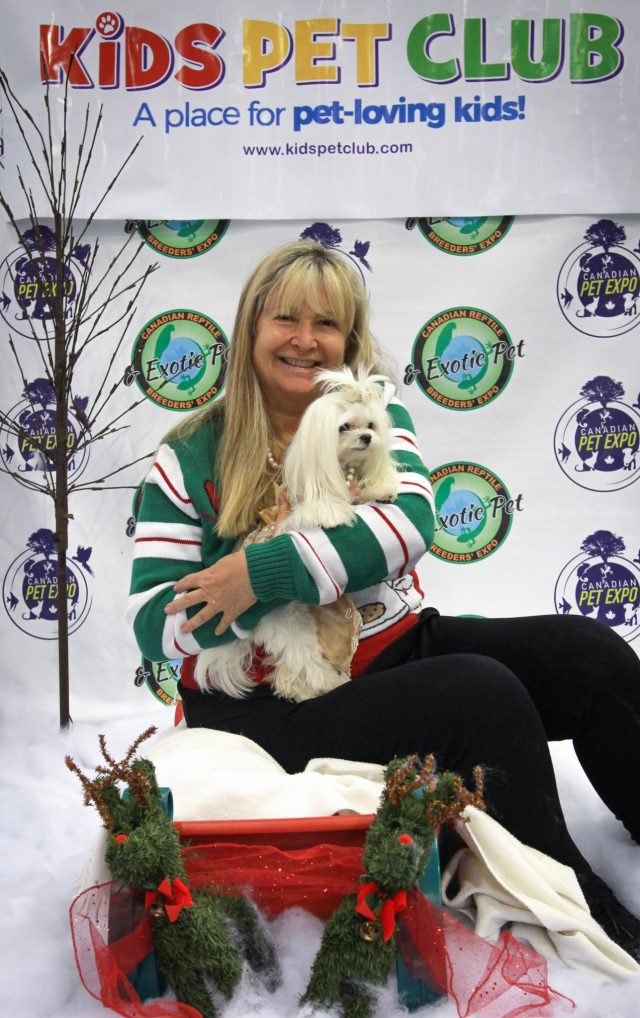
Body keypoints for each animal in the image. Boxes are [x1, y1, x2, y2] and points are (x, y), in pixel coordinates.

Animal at [194, 370, 396, 704]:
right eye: (345, 427)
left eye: (370, 425)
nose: (367, 438)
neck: (337, 470)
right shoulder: (296, 512)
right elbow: (325, 508)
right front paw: (335, 510)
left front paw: (381, 488)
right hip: (286, 621)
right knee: (303, 660)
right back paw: (324, 684)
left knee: (290, 666)